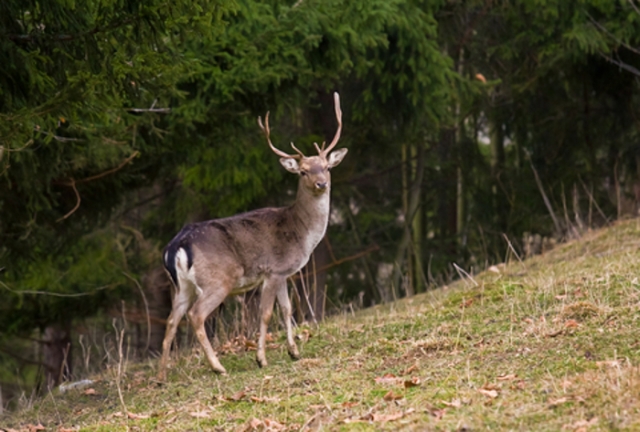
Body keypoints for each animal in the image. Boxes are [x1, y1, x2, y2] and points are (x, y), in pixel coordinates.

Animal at [158, 92, 348, 378]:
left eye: (326, 167)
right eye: (303, 171)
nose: (321, 184)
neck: (300, 233)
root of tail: (177, 245)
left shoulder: (284, 274)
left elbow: (287, 309)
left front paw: (294, 352)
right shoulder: (272, 270)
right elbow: (267, 314)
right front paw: (261, 359)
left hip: (182, 286)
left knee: (171, 320)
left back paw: (161, 377)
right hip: (218, 280)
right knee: (196, 315)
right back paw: (218, 367)